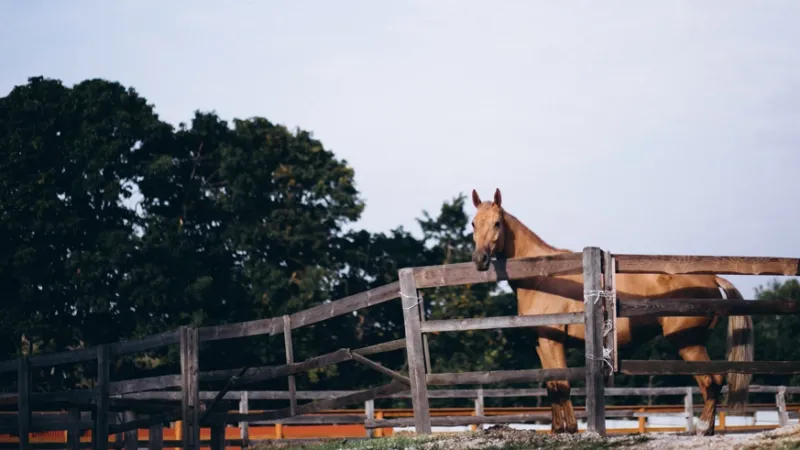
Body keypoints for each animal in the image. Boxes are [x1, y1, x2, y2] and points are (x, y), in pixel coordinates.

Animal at [468, 188, 754, 436]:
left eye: (497, 223)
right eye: (473, 224)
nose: (480, 259)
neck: (542, 276)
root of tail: (712, 278)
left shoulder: (553, 342)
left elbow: (562, 384)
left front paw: (570, 429)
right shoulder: (542, 343)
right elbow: (552, 385)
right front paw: (558, 430)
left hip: (688, 343)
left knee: (711, 381)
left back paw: (703, 428)